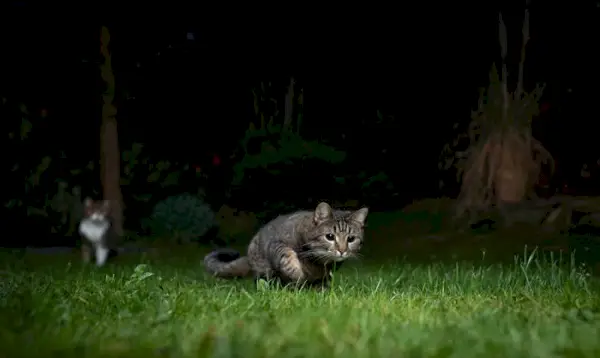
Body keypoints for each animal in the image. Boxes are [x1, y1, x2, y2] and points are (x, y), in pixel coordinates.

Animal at [204, 203, 368, 290]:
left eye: (351, 239)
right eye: (330, 237)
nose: (342, 250)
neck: (316, 262)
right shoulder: (276, 244)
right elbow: (287, 255)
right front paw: (296, 271)